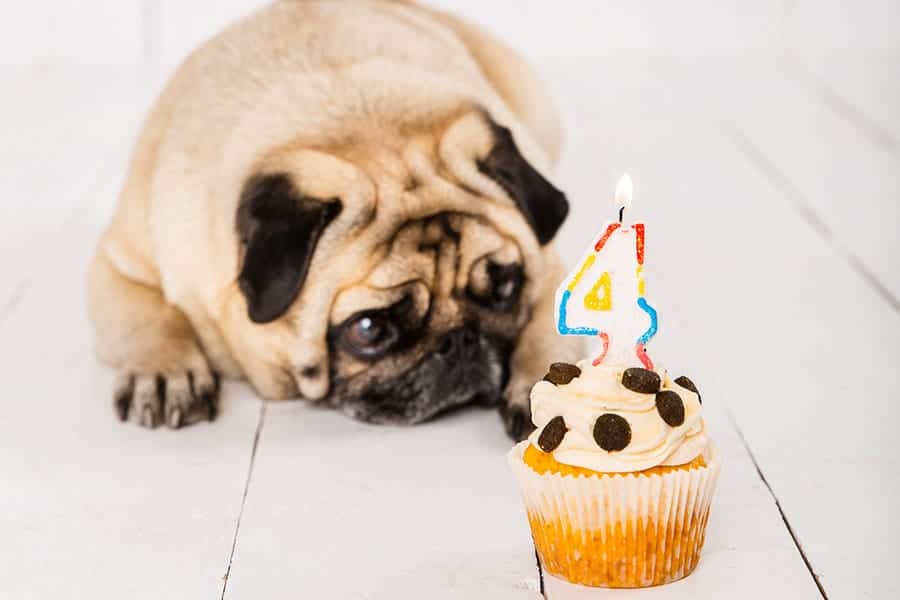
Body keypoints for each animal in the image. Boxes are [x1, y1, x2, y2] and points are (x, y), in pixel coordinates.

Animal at [88, 0, 584, 440]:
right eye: (368, 329)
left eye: (504, 288)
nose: (459, 342)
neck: (356, 125)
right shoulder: (119, 265)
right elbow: (149, 316)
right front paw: (164, 372)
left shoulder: (550, 265)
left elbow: (549, 326)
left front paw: (546, 382)